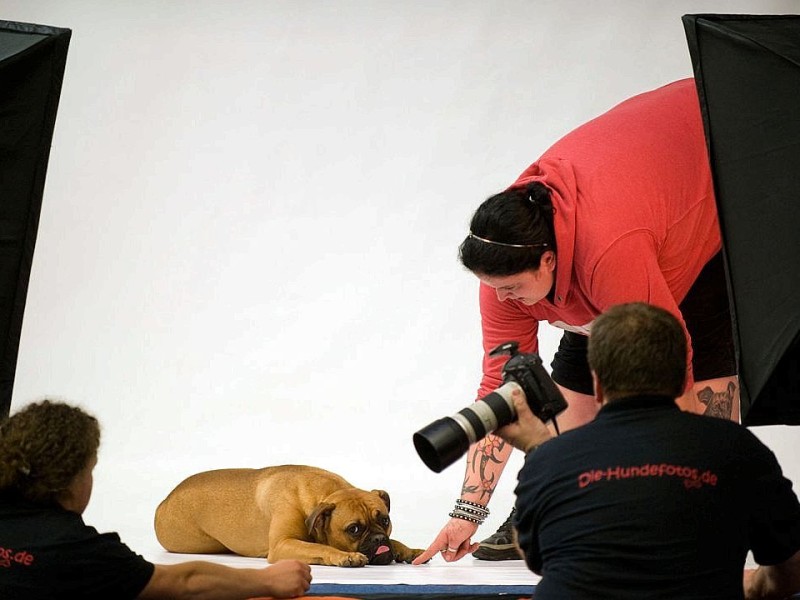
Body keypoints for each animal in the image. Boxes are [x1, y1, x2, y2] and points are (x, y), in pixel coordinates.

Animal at [152, 464, 422, 568]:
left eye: (385, 520)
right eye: (353, 529)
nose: (378, 540)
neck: (324, 493)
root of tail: (164, 500)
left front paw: (407, 549)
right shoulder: (283, 545)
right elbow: (320, 548)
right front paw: (345, 556)